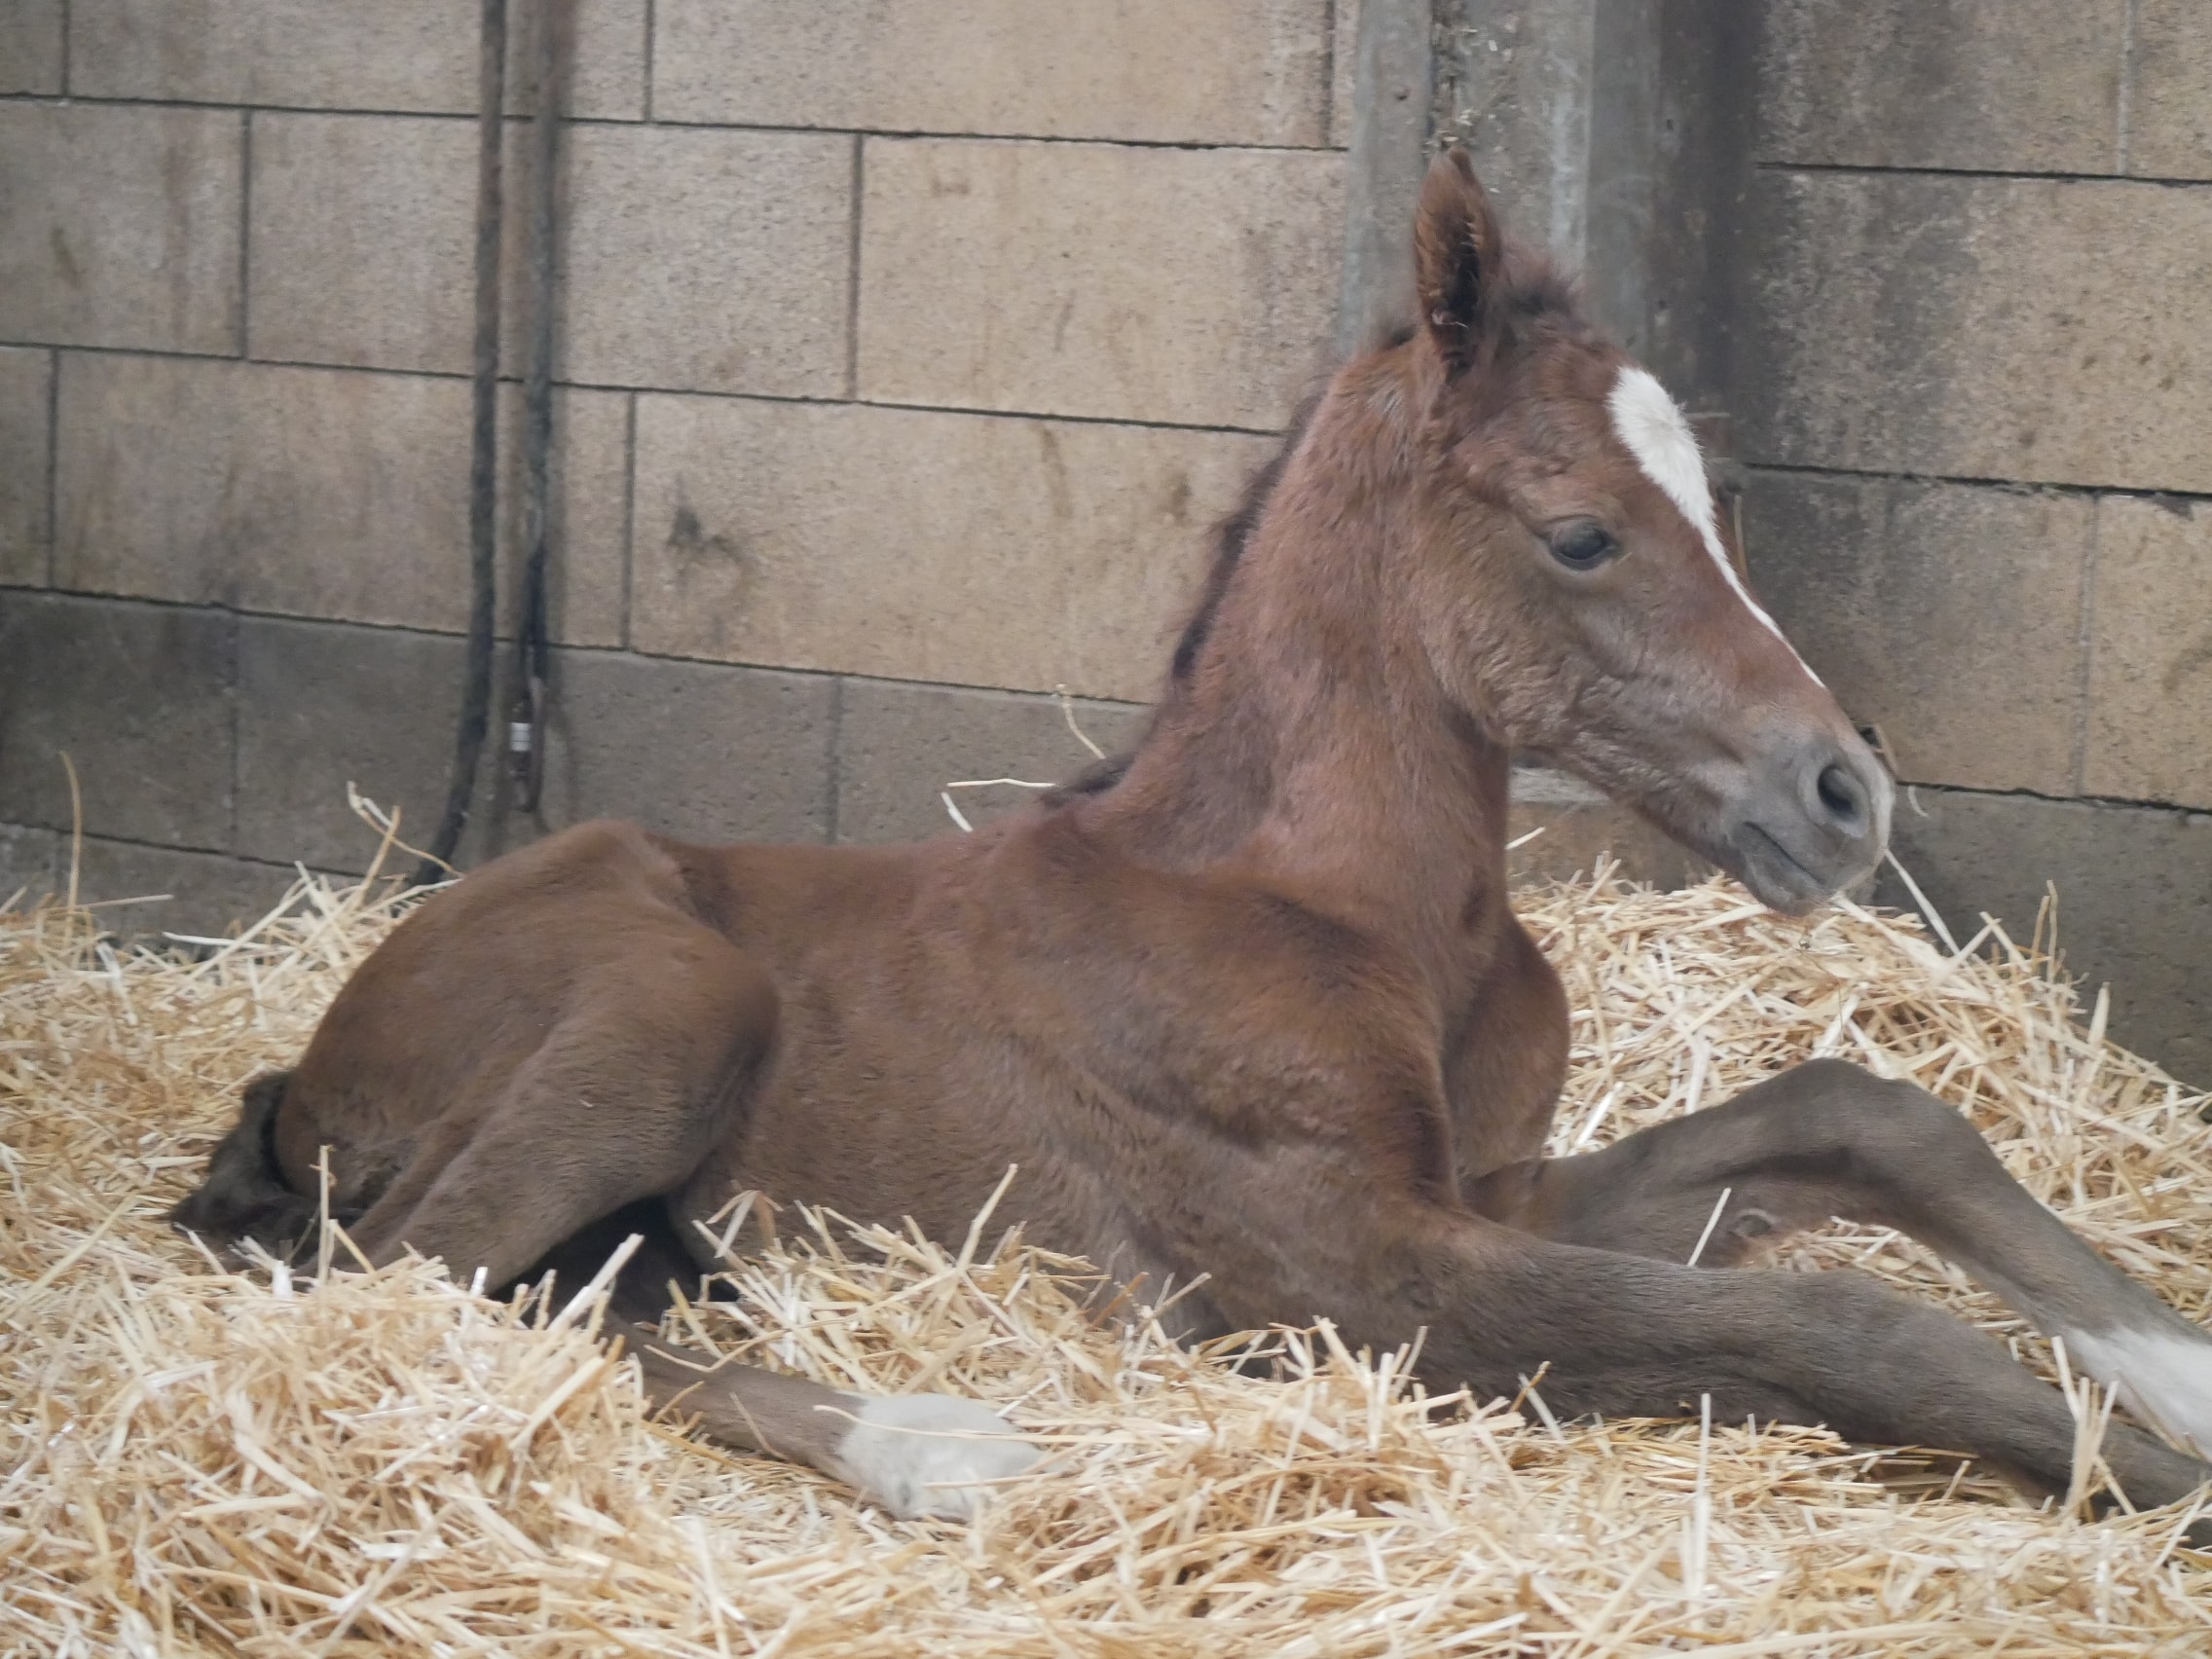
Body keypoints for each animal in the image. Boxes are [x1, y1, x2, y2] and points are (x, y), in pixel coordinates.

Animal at [174, 149, 2212, 1524]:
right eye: (1578, 533)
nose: (1843, 793)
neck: (1338, 911)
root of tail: (306, 1053)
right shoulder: (1343, 1268)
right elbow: (1840, 1327)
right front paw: (2142, 1468)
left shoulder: (1481, 1186)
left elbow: (1860, 1113)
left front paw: (2177, 1370)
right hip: (675, 997)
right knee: (404, 1281)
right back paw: (942, 1444)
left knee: (546, 1284)